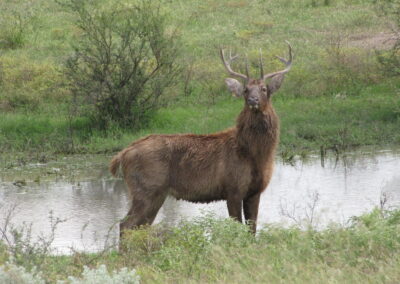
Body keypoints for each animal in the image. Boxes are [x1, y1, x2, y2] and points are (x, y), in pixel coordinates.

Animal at [111, 42, 292, 236]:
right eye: (245, 90)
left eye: (264, 89)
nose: (253, 100)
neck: (255, 155)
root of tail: (122, 154)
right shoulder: (233, 189)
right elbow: (236, 229)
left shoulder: (255, 192)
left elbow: (252, 230)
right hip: (145, 189)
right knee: (125, 224)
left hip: (155, 194)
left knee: (139, 226)